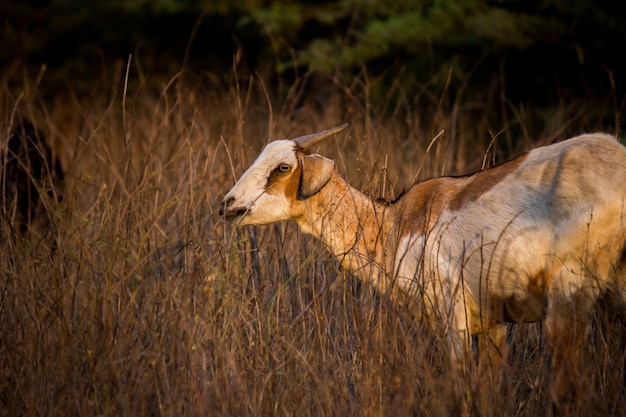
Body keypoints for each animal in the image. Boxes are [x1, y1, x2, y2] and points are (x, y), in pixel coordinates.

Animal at [218, 123, 624, 410]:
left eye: (283, 166)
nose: (228, 204)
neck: (396, 224)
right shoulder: (493, 324)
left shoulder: (453, 316)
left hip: (568, 298)